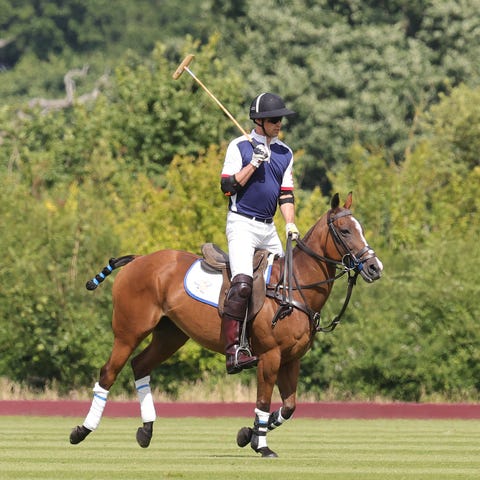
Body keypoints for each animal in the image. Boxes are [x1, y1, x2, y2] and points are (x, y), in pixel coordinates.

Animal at [69, 192, 382, 458]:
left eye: (361, 228)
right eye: (345, 231)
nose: (374, 267)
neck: (293, 287)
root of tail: (138, 259)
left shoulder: (292, 358)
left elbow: (289, 407)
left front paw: (248, 434)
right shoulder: (270, 356)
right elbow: (264, 401)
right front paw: (261, 446)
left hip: (171, 335)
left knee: (140, 365)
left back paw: (146, 430)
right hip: (128, 331)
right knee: (108, 372)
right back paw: (82, 430)